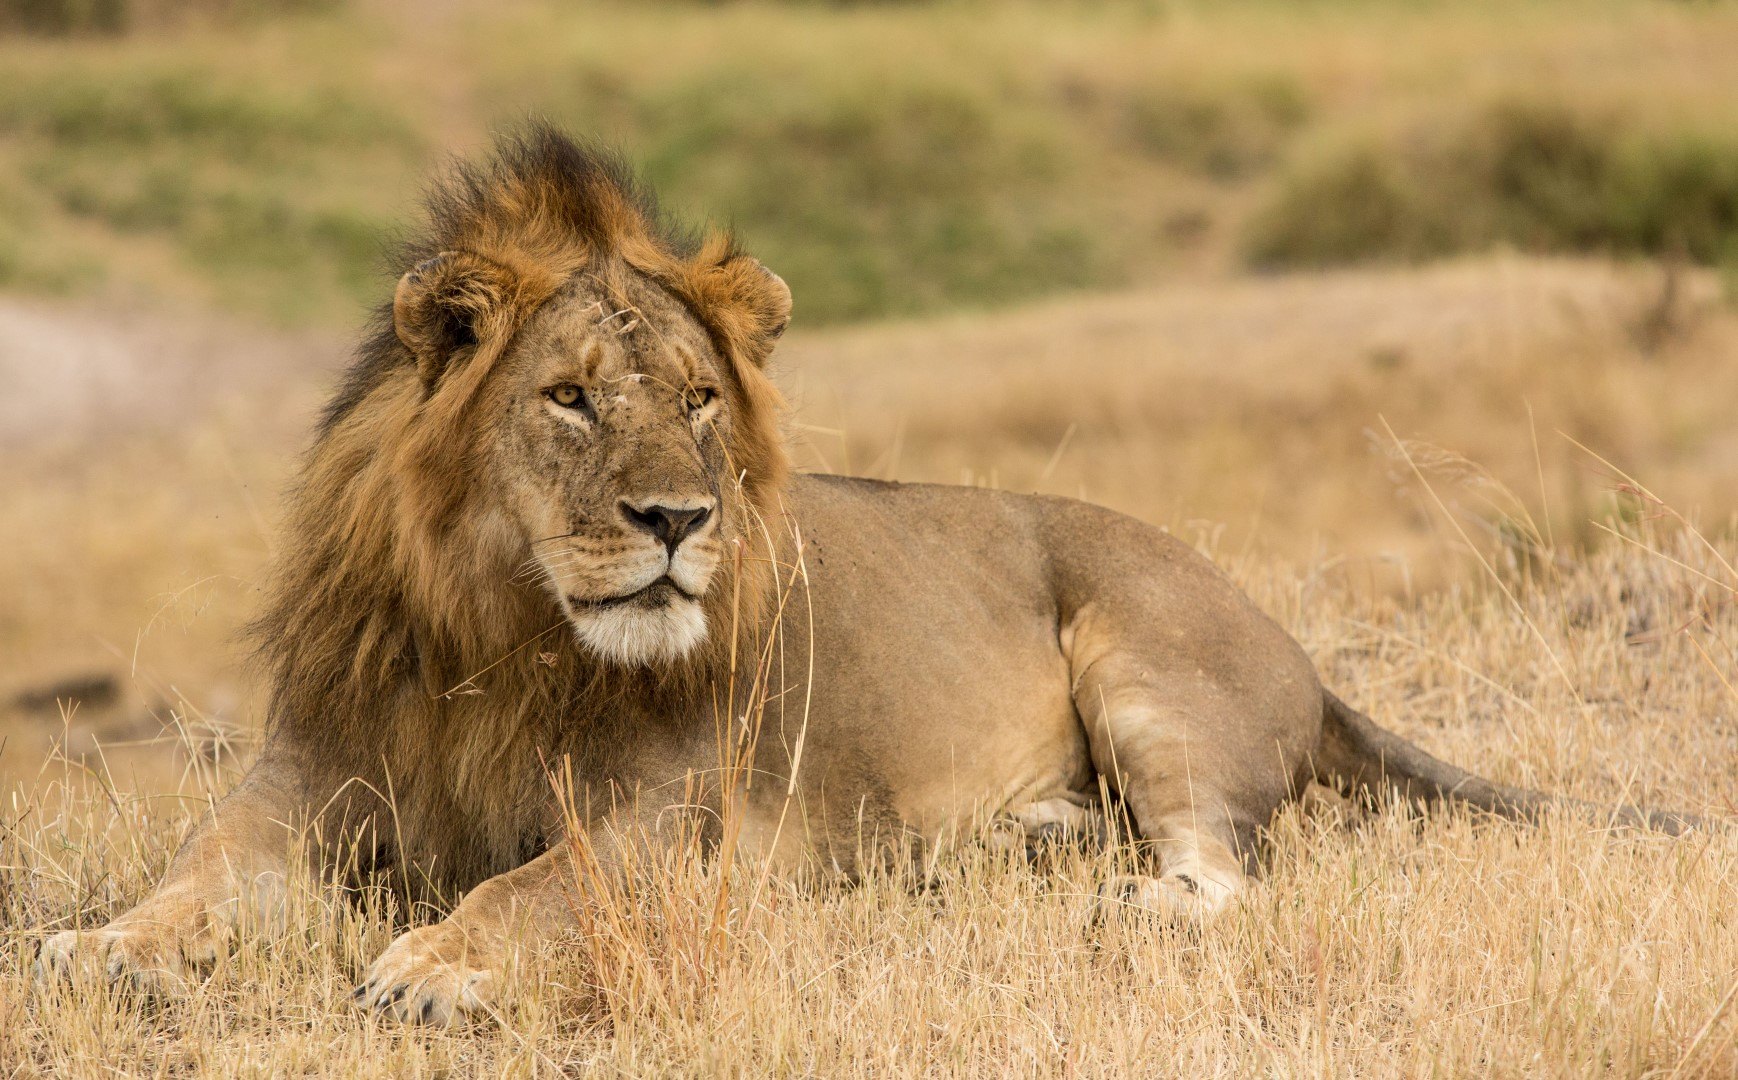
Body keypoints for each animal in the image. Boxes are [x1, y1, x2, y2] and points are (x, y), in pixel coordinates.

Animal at [37, 124, 1696, 1022]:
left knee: (1223, 869)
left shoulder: (680, 824)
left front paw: (433, 965)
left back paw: (1103, 900)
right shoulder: (309, 779)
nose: (675, 519)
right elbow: (189, 875)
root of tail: (1301, 656)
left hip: (1140, 651)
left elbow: (536, 881)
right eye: (568, 398)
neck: (503, 635)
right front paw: (99, 945)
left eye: (698, 400)